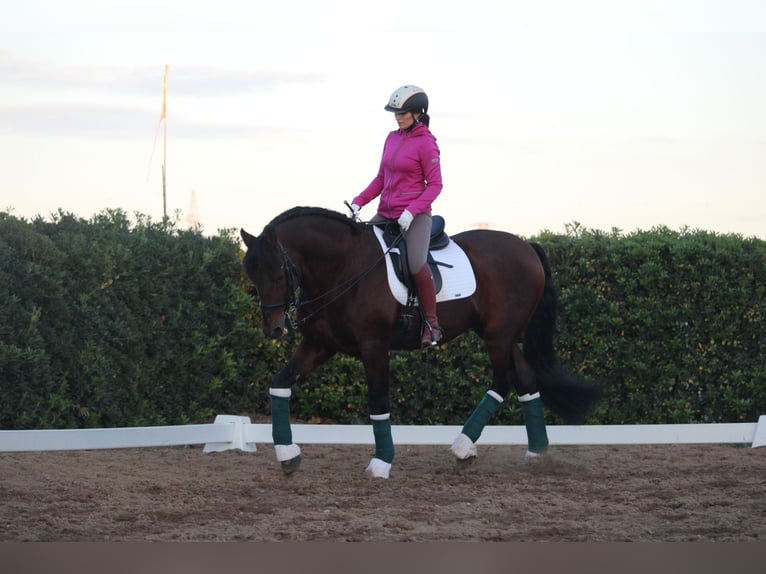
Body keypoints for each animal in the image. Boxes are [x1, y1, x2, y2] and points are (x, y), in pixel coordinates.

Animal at [243, 209, 604, 480]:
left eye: (278, 275)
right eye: (252, 276)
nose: (274, 329)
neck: (344, 266)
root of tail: (526, 246)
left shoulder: (374, 348)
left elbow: (378, 403)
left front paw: (381, 463)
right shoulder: (320, 345)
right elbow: (280, 384)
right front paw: (287, 455)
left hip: (498, 336)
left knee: (502, 381)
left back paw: (462, 447)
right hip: (498, 334)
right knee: (526, 380)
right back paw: (536, 453)